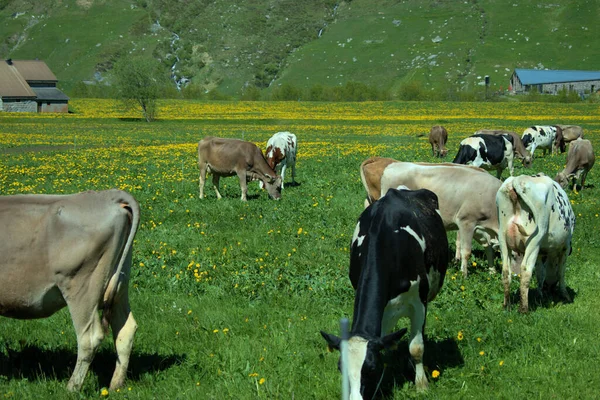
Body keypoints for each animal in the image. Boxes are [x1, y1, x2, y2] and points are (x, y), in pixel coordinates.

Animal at [0, 190, 139, 390]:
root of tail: (108, 195)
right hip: (119, 284)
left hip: (82, 286)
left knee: (89, 337)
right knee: (125, 330)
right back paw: (115, 386)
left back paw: (72, 388)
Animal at [360, 157, 502, 278]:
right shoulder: (466, 221)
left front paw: (492, 271)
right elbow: (466, 250)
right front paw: (464, 274)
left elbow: (488, 247)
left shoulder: (478, 228)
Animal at [494, 173, 576, 314]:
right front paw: (565, 295)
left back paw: (507, 305)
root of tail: (518, 180)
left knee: (505, 271)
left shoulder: (541, 253)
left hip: (502, 238)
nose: (550, 288)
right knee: (526, 270)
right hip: (534, 240)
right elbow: (561, 272)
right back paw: (524, 309)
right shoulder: (565, 246)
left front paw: (539, 295)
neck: (550, 254)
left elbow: (540, 273)